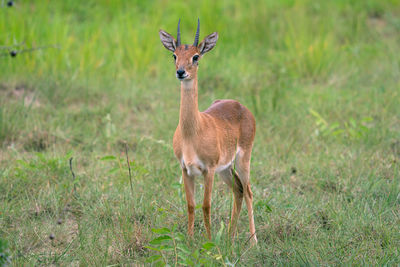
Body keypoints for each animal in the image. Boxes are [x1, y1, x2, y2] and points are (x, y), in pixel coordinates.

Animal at [159, 18, 256, 245]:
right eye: (174, 55)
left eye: (196, 56)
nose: (181, 72)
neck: (192, 133)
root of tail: (241, 106)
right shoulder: (186, 169)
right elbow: (190, 205)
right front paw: (190, 240)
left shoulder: (208, 170)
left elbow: (206, 205)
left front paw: (210, 242)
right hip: (226, 169)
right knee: (238, 190)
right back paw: (230, 237)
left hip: (242, 161)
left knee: (248, 191)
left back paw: (253, 242)